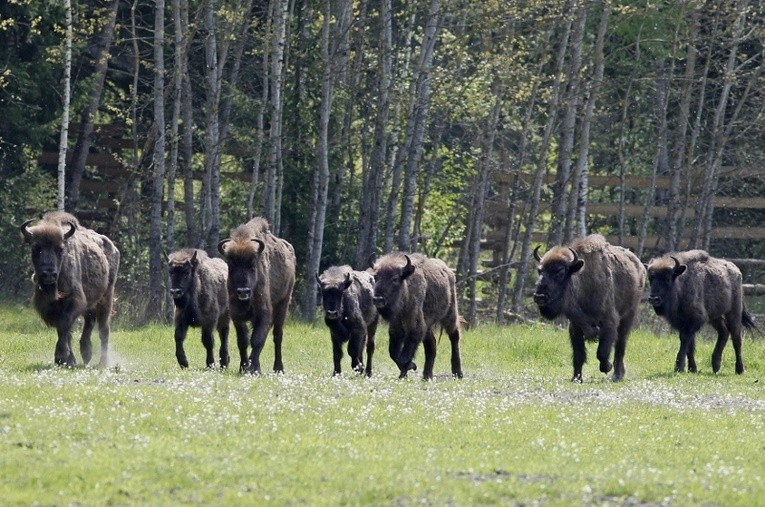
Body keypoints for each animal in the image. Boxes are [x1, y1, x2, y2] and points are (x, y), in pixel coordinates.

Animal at [21, 212, 121, 368]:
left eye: (60, 249)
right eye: (36, 248)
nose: (49, 274)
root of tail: (113, 248)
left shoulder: (74, 301)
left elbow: (64, 324)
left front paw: (61, 357)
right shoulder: (50, 307)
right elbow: (64, 330)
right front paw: (68, 360)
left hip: (106, 297)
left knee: (103, 329)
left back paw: (102, 362)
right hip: (92, 303)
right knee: (90, 323)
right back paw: (86, 354)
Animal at [219, 216, 296, 376]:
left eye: (253, 265)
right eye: (231, 265)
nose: (243, 291)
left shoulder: (263, 313)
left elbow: (256, 340)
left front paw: (253, 369)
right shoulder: (236, 315)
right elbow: (243, 341)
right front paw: (244, 367)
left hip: (283, 304)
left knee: (277, 336)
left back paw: (278, 368)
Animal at [368, 252, 460, 380]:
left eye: (395, 278)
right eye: (376, 277)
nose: (378, 299)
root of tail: (449, 272)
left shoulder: (415, 324)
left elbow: (404, 354)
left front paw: (409, 366)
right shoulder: (396, 326)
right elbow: (393, 352)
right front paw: (406, 371)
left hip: (450, 315)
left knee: (454, 336)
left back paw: (458, 373)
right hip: (429, 324)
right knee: (431, 344)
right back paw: (427, 376)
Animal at [532, 234, 644, 380]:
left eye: (560, 272)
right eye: (540, 271)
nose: (539, 296)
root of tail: (640, 266)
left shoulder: (609, 323)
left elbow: (602, 352)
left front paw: (607, 367)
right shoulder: (575, 327)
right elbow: (578, 354)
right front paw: (576, 378)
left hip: (628, 317)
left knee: (621, 345)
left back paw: (617, 375)